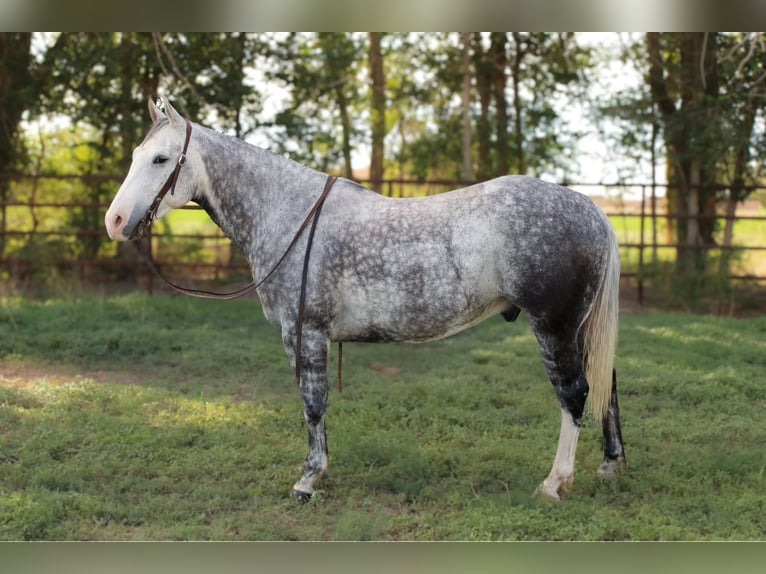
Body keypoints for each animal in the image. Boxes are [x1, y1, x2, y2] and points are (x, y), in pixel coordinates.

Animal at [105, 99, 625, 501]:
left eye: (160, 159)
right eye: (137, 154)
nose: (115, 221)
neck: (288, 213)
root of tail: (589, 209)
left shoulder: (306, 333)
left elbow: (313, 403)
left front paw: (308, 479)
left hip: (553, 327)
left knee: (575, 393)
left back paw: (555, 483)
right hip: (578, 329)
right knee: (606, 386)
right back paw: (610, 465)